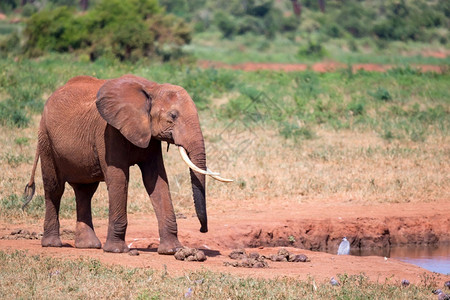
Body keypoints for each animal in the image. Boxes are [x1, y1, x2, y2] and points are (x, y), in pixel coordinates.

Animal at [22, 74, 230, 254]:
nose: (203, 230)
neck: (152, 88)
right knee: (54, 188)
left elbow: (157, 181)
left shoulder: (148, 134)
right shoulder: (108, 131)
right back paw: (52, 244)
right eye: (173, 116)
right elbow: (119, 179)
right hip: (45, 138)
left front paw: (172, 250)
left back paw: (88, 246)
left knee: (85, 192)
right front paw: (117, 250)